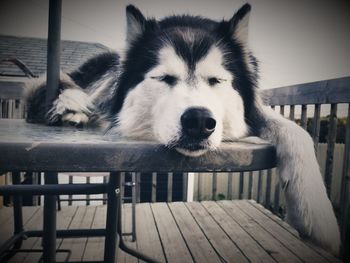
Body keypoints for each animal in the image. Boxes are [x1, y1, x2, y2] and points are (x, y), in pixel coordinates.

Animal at [26, 3, 340, 256]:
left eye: (216, 80)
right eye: (165, 78)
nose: (199, 121)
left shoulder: (257, 111)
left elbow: (296, 131)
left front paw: (317, 213)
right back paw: (71, 107)